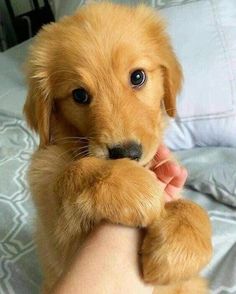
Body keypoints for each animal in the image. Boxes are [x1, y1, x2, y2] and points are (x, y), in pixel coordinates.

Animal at [23, 1, 212, 292]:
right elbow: (73, 171)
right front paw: (133, 187)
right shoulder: (58, 236)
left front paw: (179, 246)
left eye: (138, 77)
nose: (126, 154)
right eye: (79, 95)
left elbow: (190, 206)